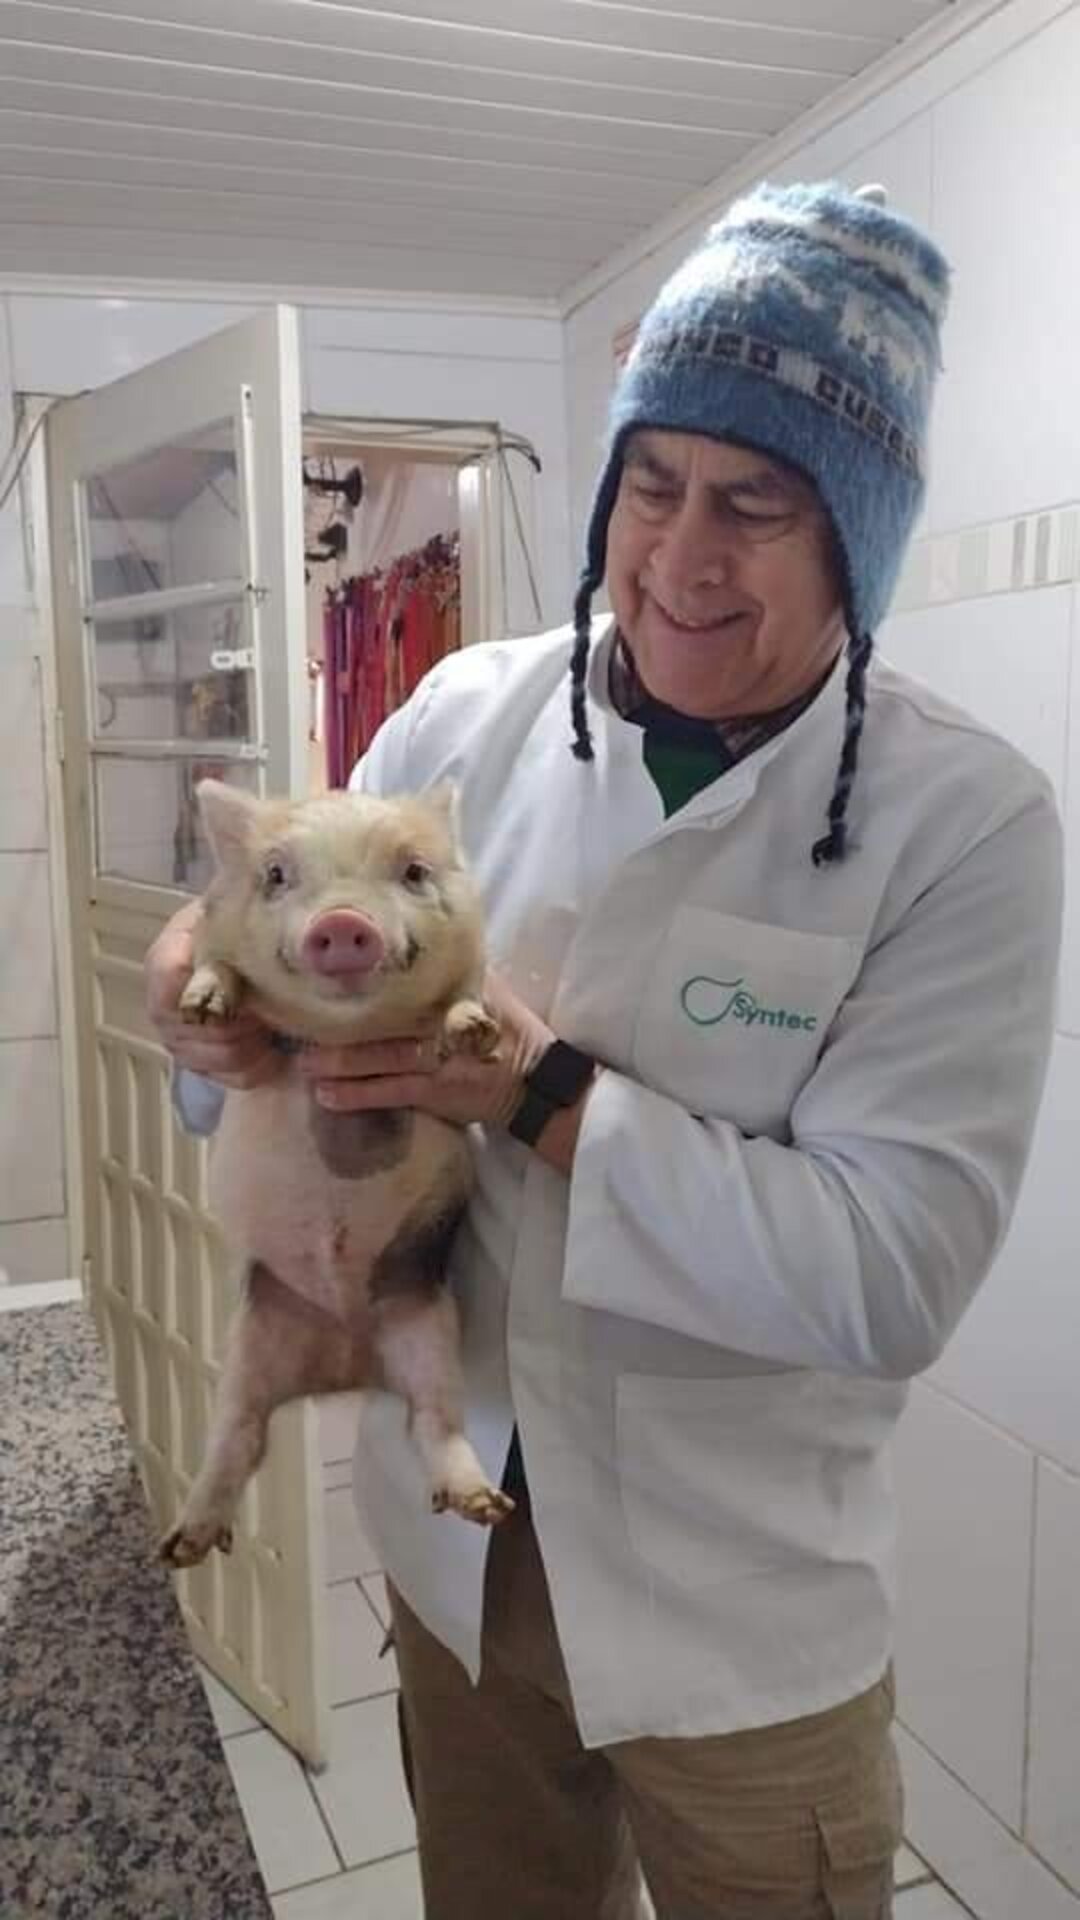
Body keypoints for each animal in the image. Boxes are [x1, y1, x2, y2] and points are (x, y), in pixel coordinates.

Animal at [158, 776, 514, 1569]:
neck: (344, 1030)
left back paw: (483, 1506)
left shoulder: (476, 954)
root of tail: (348, 1359)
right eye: (276, 875)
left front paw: (475, 1035)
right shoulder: (211, 932)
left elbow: (466, 996)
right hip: (254, 1337)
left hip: (423, 1319)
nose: (345, 921)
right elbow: (215, 965)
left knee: (433, 1422)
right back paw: (182, 1545)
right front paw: (203, 1007)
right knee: (239, 1436)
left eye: (413, 871)